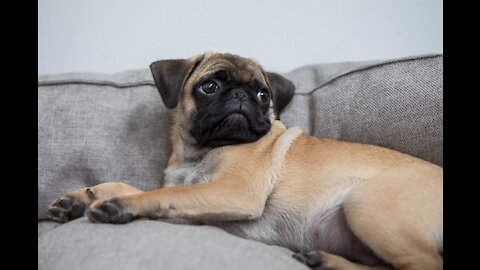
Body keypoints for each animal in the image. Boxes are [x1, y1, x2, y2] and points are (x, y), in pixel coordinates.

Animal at [47, 51, 442, 268]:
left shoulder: (232, 192)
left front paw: (119, 205)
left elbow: (162, 195)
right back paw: (326, 261)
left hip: (365, 203)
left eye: (262, 93)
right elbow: (136, 186)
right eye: (209, 87)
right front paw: (82, 197)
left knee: (424, 265)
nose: (240, 96)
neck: (201, 152)